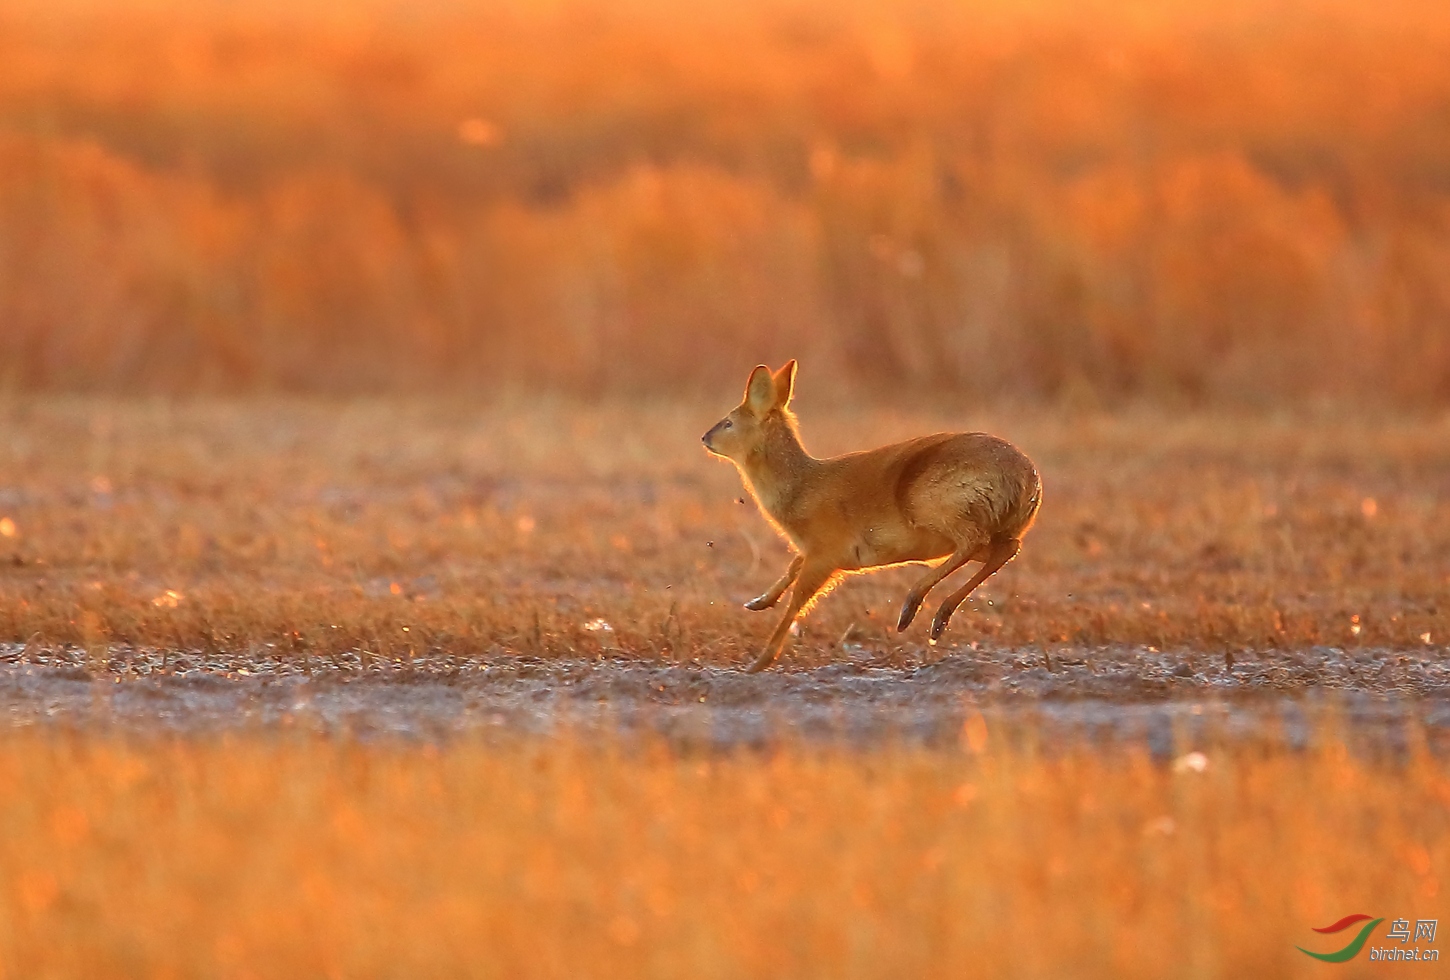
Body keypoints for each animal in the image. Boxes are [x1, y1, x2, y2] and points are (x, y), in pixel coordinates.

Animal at [701, 359, 1044, 672]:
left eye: (729, 422)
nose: (705, 438)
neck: (802, 488)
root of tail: (1027, 479)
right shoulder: (820, 550)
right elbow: (792, 566)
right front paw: (757, 603)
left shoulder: (827, 551)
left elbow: (799, 597)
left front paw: (759, 662)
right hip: (970, 529)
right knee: (1003, 548)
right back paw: (937, 619)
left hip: (928, 505)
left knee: (975, 542)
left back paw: (912, 608)